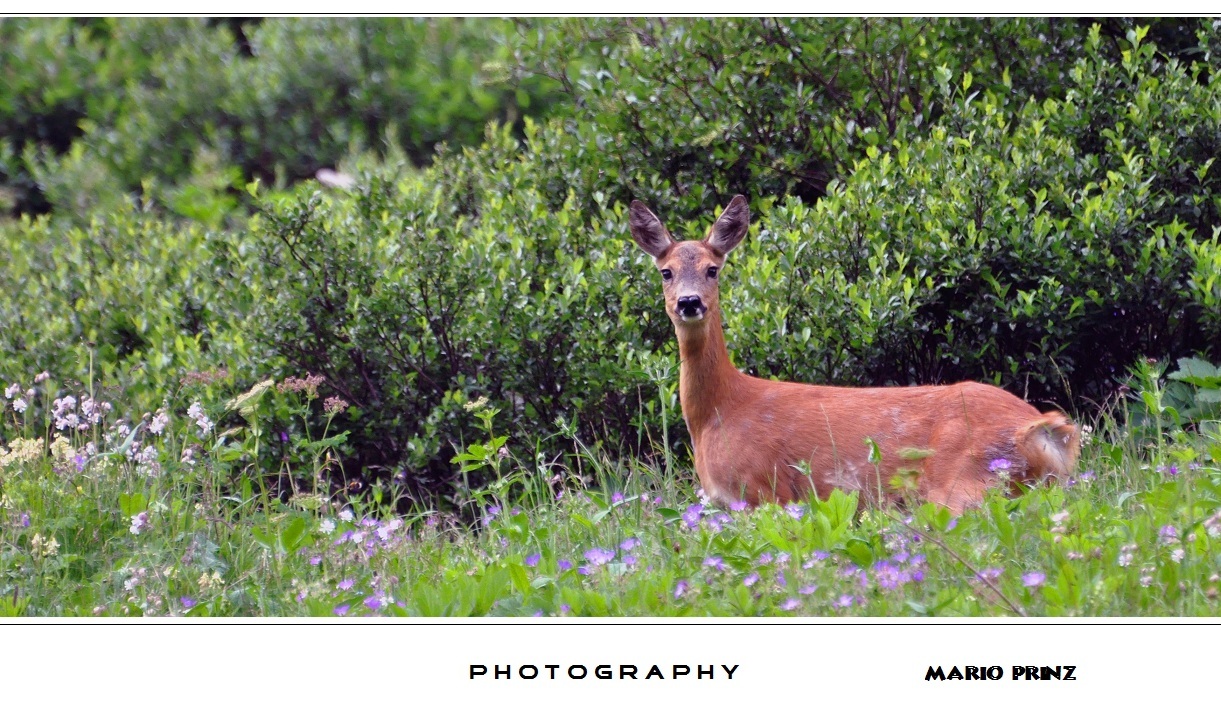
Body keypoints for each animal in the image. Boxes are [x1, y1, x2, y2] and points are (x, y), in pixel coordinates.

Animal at [630, 192, 1079, 513]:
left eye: (713, 269)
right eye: (666, 272)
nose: (689, 302)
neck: (719, 411)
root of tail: (1043, 429)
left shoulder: (763, 490)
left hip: (963, 480)